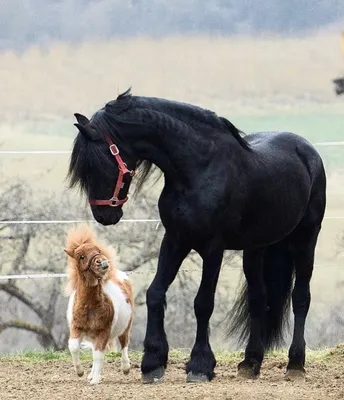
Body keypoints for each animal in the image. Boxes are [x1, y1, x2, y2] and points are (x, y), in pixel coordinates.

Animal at [63, 225, 134, 384]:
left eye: (98, 250)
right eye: (81, 256)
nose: (103, 263)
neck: (90, 307)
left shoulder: (103, 331)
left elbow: (98, 355)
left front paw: (95, 380)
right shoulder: (76, 328)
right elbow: (74, 347)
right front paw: (81, 372)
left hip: (125, 326)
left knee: (124, 343)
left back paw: (125, 368)